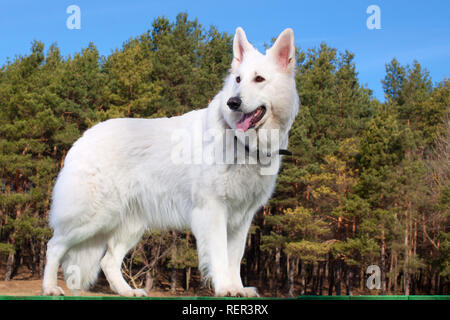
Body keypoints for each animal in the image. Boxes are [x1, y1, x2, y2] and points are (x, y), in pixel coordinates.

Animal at [42, 26, 298, 298]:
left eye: (259, 79)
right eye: (238, 80)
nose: (233, 102)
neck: (243, 143)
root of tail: (82, 138)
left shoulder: (242, 218)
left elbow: (235, 257)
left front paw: (237, 288)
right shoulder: (213, 210)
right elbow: (219, 255)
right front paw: (225, 288)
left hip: (130, 225)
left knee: (107, 261)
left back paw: (128, 291)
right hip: (93, 217)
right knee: (54, 245)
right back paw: (50, 287)